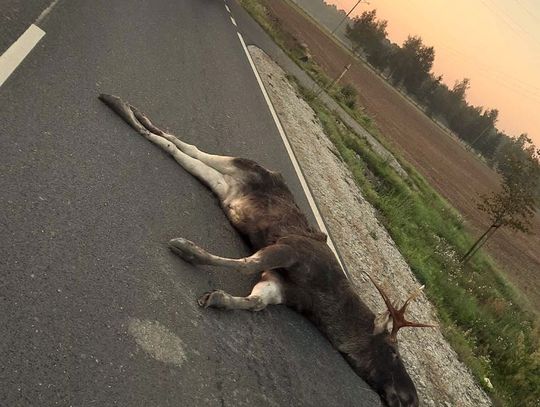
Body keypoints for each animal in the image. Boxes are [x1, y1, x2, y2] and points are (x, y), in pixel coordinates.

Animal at [98, 95, 434, 407]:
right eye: (393, 352)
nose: (411, 398)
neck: (325, 304)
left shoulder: (279, 284)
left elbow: (255, 302)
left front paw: (218, 298)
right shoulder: (291, 250)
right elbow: (247, 264)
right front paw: (186, 249)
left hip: (223, 183)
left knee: (182, 149)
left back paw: (127, 109)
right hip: (238, 164)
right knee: (185, 145)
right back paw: (120, 105)